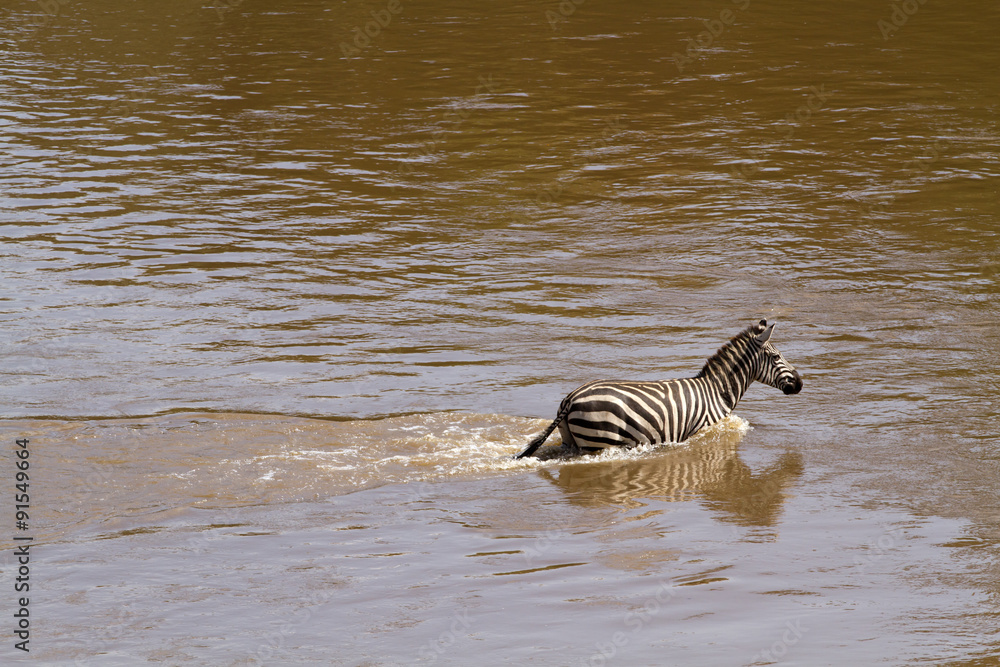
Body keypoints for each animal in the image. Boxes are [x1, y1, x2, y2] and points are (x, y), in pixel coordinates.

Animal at [516, 320, 804, 460]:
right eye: (776, 357)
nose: (800, 384)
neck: (716, 391)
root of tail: (570, 400)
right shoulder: (705, 430)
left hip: (570, 441)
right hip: (599, 440)